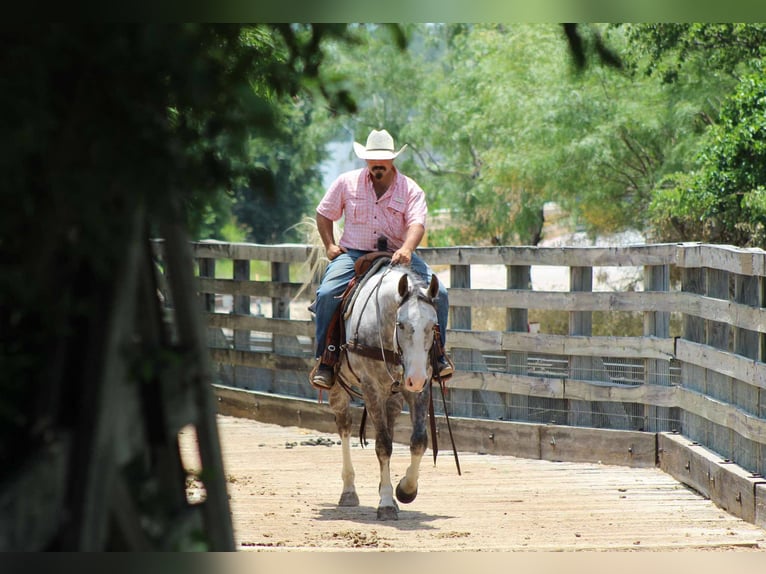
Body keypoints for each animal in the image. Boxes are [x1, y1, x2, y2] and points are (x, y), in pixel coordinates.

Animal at [327, 261, 442, 520]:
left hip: (395, 396)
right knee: (345, 427)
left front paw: (405, 490)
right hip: (338, 387)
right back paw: (349, 491)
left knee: (389, 424)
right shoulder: (372, 388)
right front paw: (387, 504)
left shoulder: (421, 388)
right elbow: (383, 445)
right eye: (401, 324)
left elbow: (419, 441)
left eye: (433, 326)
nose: (415, 379)